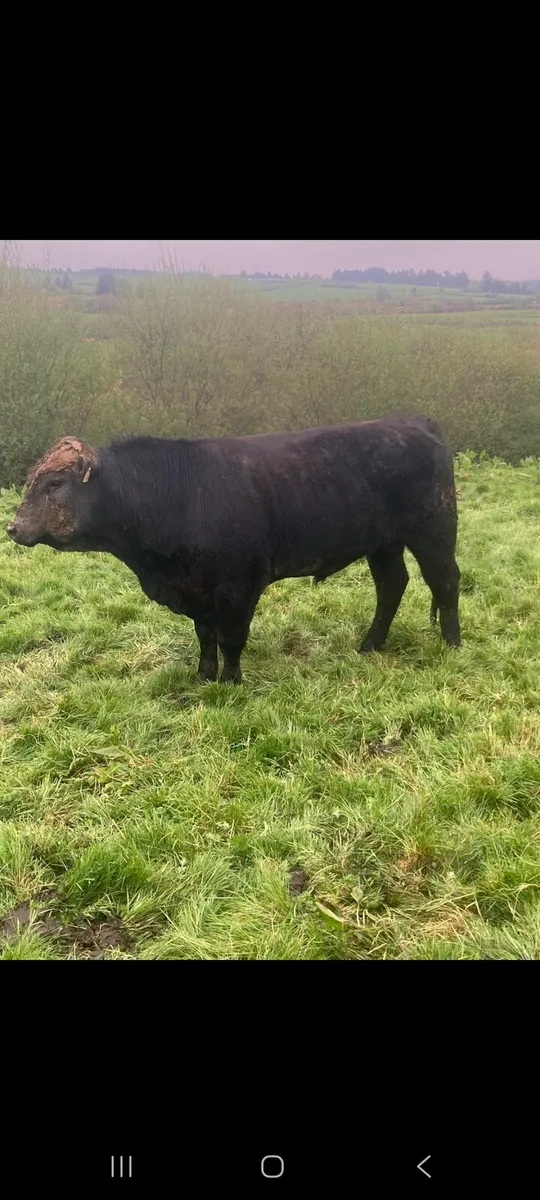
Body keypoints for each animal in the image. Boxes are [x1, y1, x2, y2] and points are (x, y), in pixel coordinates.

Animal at [6, 418, 460, 684]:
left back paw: (452, 644)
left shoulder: (238, 585)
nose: (13, 527)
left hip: (433, 529)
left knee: (445, 581)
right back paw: (370, 645)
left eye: (56, 483)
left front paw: (231, 681)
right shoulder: (196, 590)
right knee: (392, 585)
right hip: (383, 543)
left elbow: (231, 637)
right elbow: (206, 636)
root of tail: (412, 422)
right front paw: (205, 677)